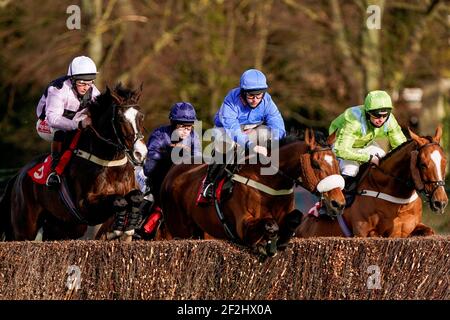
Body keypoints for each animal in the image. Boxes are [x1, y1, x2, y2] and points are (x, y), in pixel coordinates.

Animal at [0, 84, 147, 240]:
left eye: (141, 116)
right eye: (120, 118)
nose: (140, 154)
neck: (111, 165)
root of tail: (17, 176)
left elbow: (136, 196)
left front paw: (131, 221)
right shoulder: (85, 207)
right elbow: (119, 200)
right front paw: (120, 223)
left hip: (58, 226)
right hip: (24, 229)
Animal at [160, 129, 346, 256]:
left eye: (337, 162)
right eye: (315, 164)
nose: (338, 203)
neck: (269, 182)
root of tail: (172, 172)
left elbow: (295, 218)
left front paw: (280, 241)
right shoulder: (243, 225)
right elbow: (270, 224)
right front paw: (265, 243)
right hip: (180, 231)